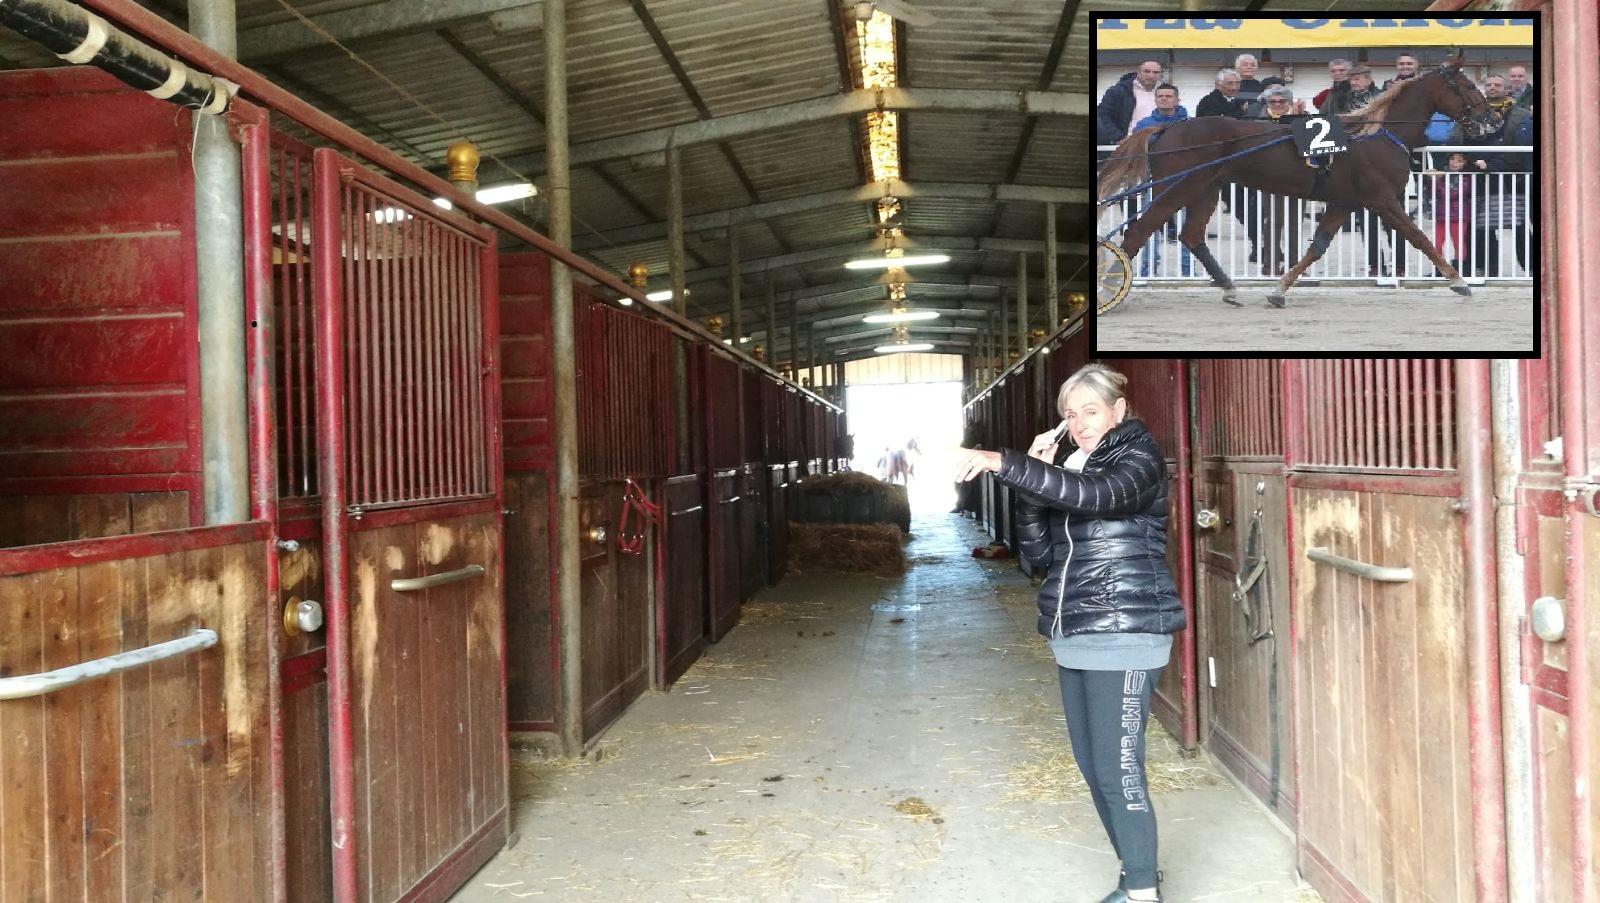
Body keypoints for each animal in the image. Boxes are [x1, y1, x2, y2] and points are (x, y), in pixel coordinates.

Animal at [1100, 52, 1497, 309]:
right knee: (1139, 230)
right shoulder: (1382, 199)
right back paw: (1111, 290)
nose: (1491, 118)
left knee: (1192, 236)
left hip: (1205, 188)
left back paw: (1229, 288)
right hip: (1178, 186)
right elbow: (1419, 237)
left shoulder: (1344, 201)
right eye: (1467, 85)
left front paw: (1279, 290)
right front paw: (1459, 281)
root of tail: (1166, 126)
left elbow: (1317, 246)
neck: (1375, 135)